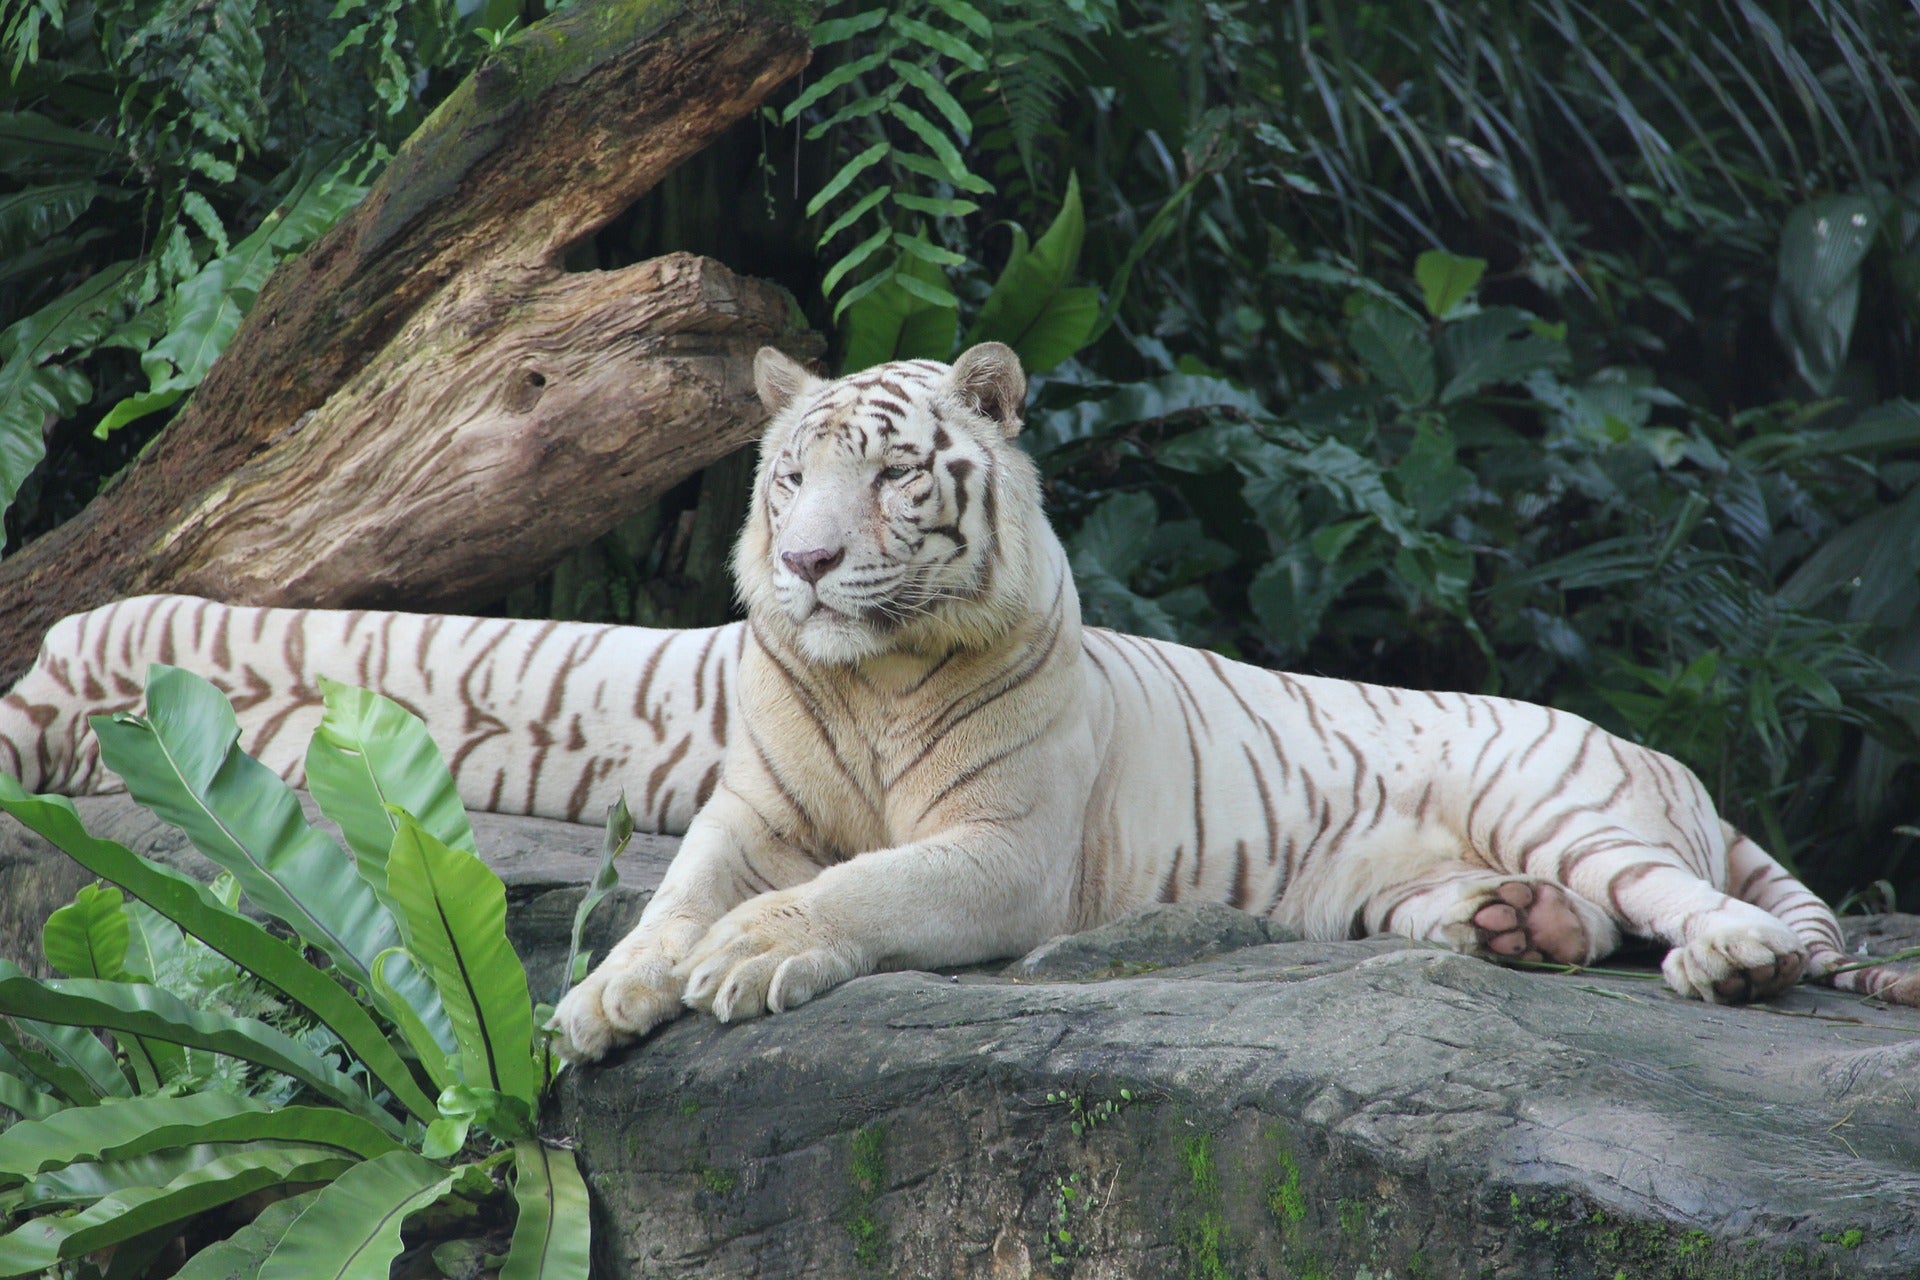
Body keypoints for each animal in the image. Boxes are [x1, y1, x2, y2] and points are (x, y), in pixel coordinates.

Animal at [0, 339, 1912, 1059]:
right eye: (789, 477)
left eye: (895, 476)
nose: (811, 563)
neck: (856, 686)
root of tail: (1665, 757)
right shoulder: (737, 812)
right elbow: (667, 908)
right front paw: (603, 1001)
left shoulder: (997, 853)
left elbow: (849, 893)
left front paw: (740, 967)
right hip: (1415, 877)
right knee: (1560, 918)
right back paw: (1511, 934)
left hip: (1569, 798)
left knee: (1687, 906)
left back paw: (1728, 964)